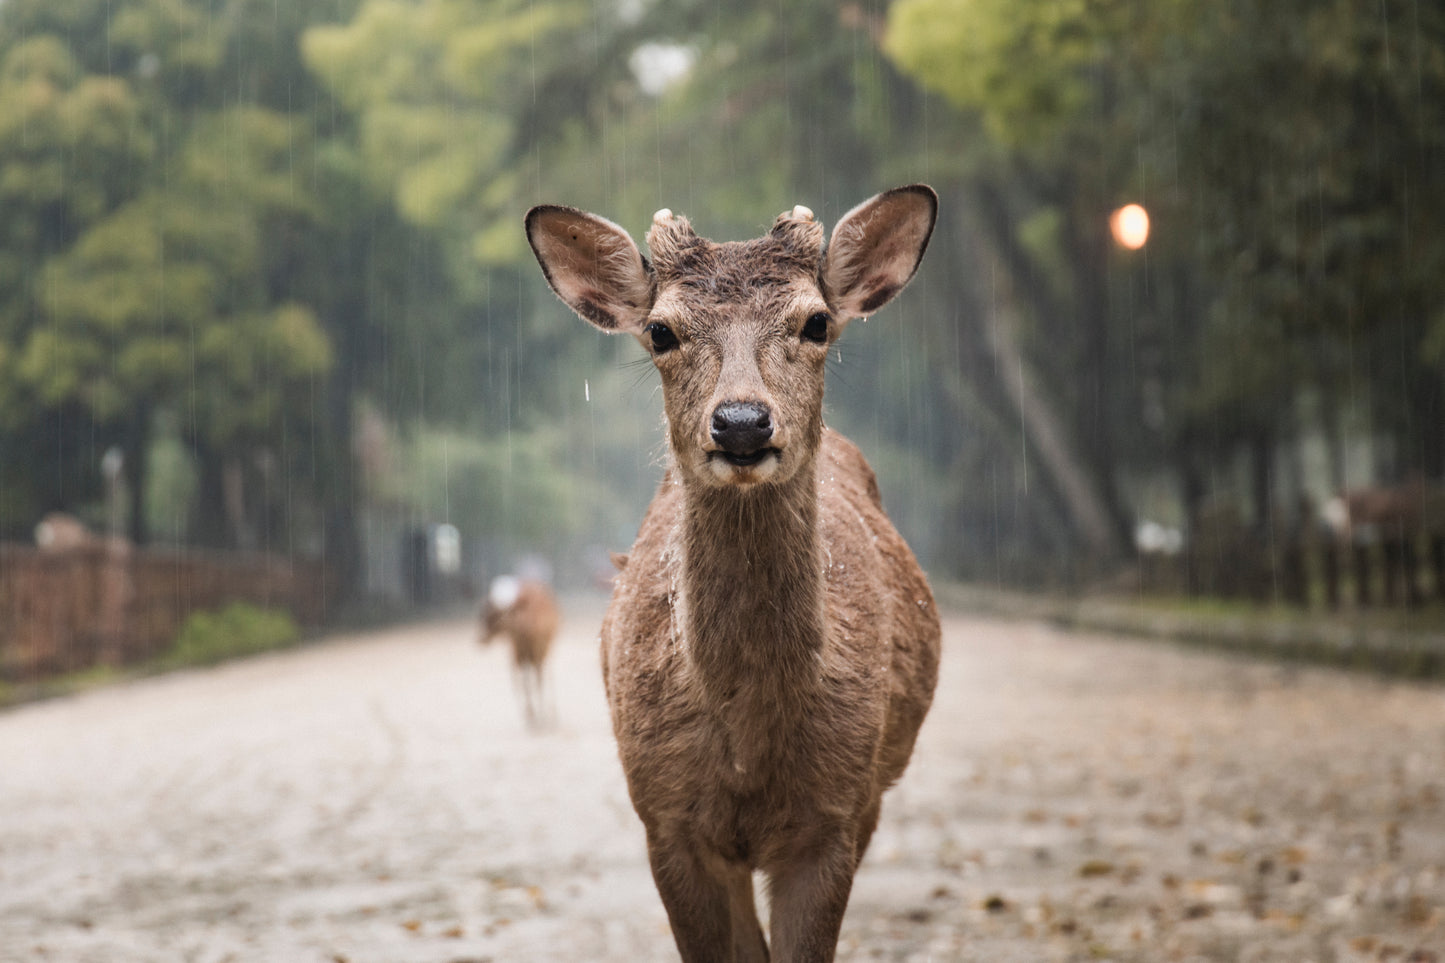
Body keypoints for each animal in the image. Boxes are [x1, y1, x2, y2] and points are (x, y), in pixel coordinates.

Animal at [479, 572, 557, 722]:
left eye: (492, 615)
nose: (480, 639)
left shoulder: (534, 651)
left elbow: (534, 679)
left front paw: (539, 713)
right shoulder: (519, 653)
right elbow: (524, 680)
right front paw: (530, 713)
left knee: (541, 675)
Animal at [525, 187, 942, 960]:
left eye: (816, 321)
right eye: (660, 331)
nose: (742, 422)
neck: (749, 742)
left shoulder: (835, 812)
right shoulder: (663, 816)